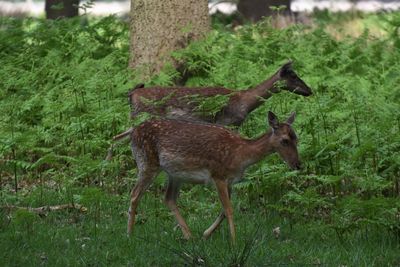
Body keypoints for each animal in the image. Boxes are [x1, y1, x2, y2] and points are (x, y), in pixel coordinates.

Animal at [108, 61, 310, 159]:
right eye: (293, 75)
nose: (310, 90)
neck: (244, 102)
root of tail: (132, 94)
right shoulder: (227, 123)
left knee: (116, 137)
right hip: (141, 115)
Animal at [126, 111, 298, 243]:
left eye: (297, 139)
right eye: (285, 140)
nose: (298, 164)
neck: (240, 155)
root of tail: (133, 131)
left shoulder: (230, 181)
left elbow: (223, 210)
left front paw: (206, 234)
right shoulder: (218, 175)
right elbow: (229, 209)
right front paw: (234, 242)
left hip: (175, 175)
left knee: (168, 199)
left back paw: (189, 236)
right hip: (147, 162)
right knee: (135, 194)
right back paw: (130, 234)